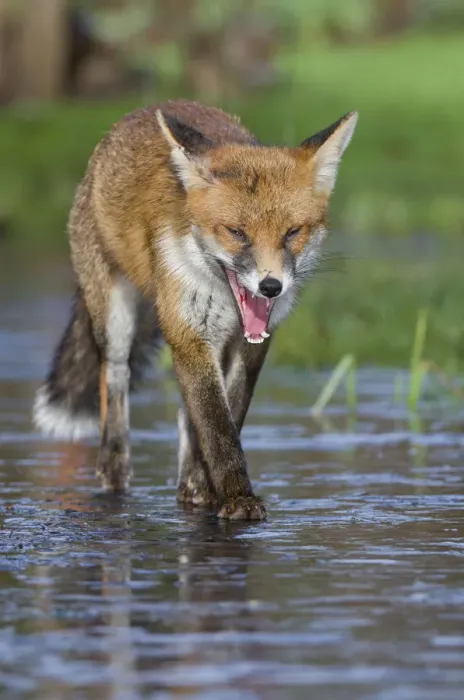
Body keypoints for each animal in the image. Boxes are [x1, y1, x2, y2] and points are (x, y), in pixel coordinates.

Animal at [33, 99, 357, 520]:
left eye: (292, 233)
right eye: (236, 233)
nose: (271, 287)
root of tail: (152, 107)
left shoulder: (252, 344)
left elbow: (227, 413)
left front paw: (205, 486)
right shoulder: (188, 333)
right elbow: (217, 426)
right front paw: (238, 497)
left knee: (184, 414)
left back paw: (190, 486)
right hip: (116, 320)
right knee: (115, 381)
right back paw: (114, 471)